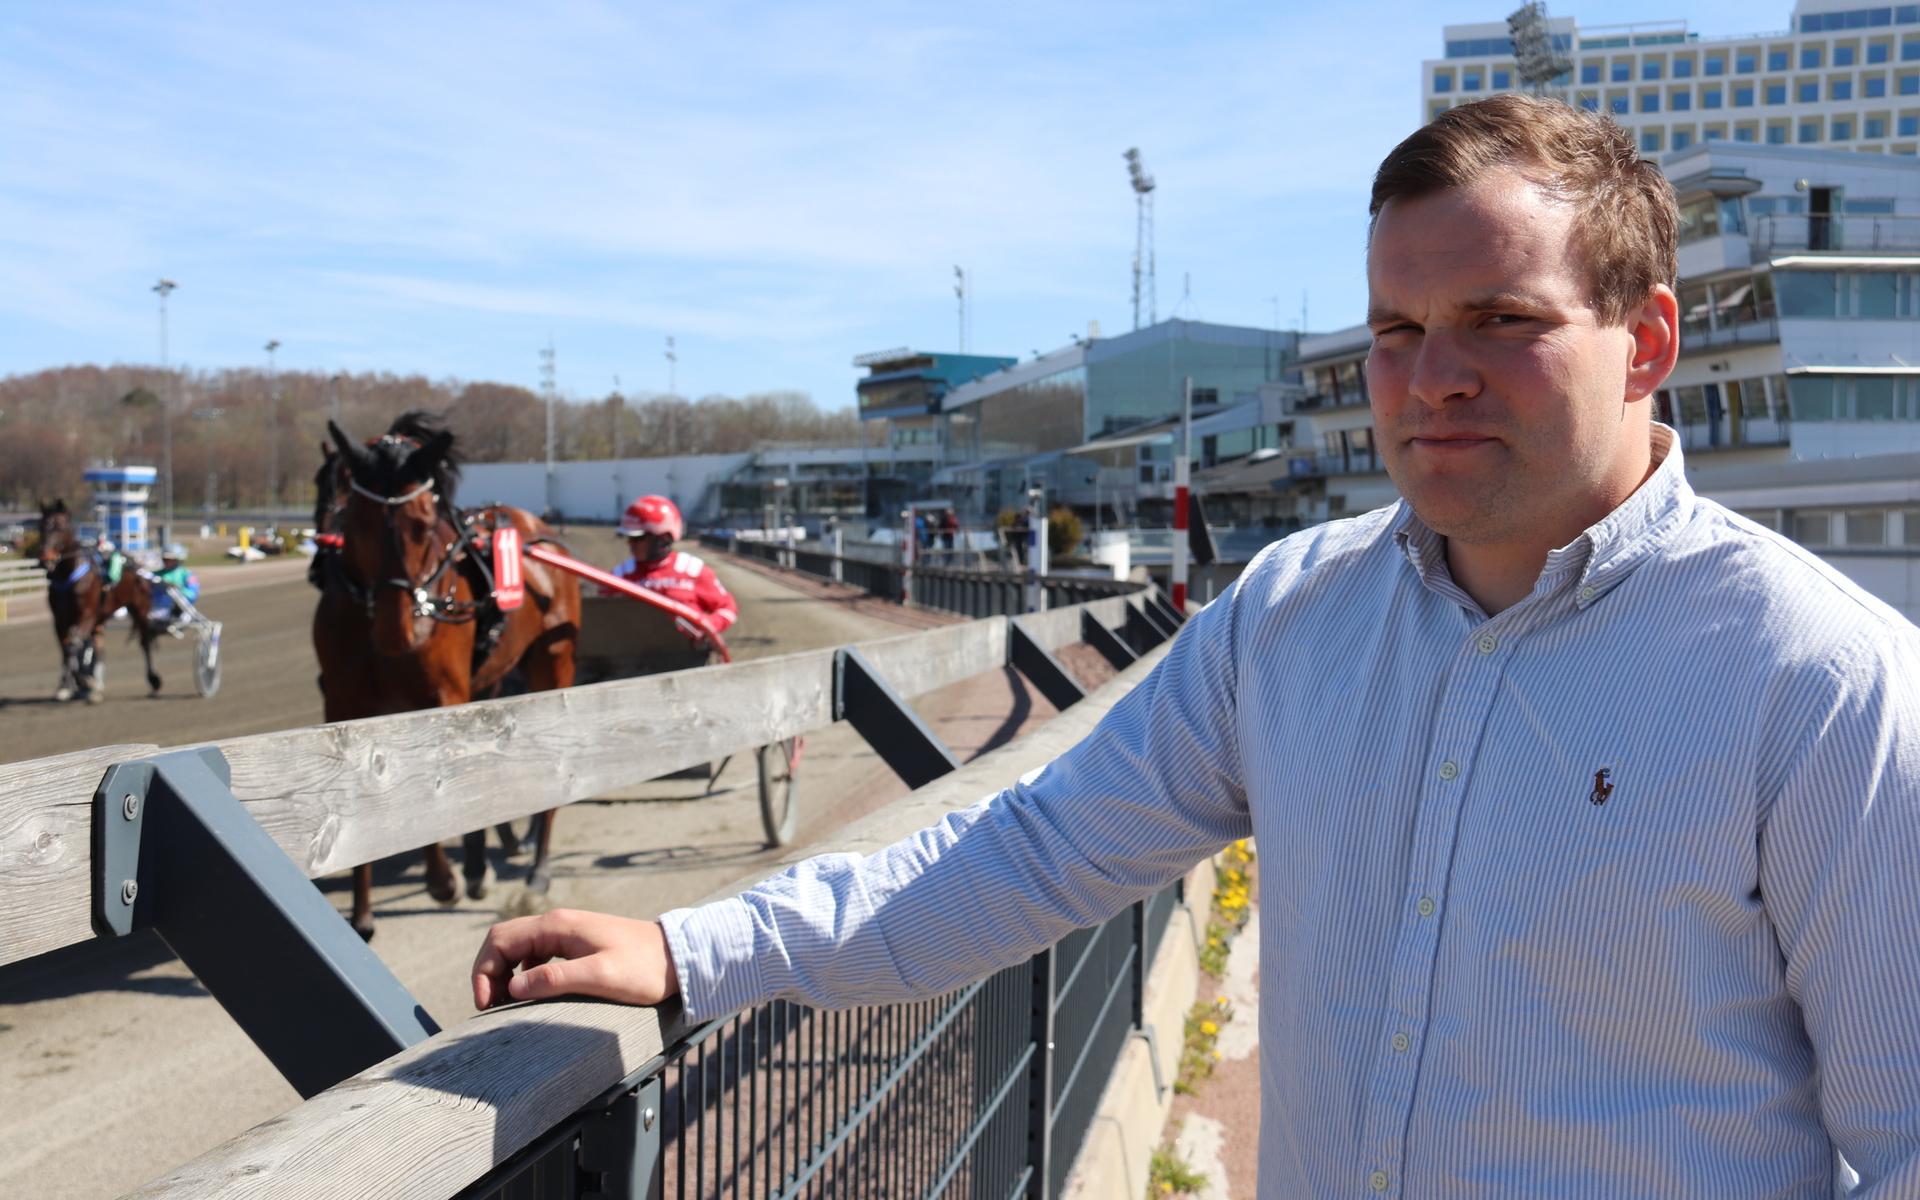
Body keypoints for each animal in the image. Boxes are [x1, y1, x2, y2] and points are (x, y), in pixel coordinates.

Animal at [35, 499, 108, 702]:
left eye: (60, 527)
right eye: (41, 526)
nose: (45, 559)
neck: (68, 574)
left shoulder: (87, 615)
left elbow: (74, 644)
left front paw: (84, 680)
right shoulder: (59, 620)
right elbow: (66, 648)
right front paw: (66, 685)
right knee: (95, 644)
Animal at [311, 410, 583, 936]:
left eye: (421, 525)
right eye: (359, 521)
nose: (399, 632)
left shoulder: (440, 696)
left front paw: (443, 881)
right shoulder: (344, 704)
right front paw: (362, 915)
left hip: (553, 662)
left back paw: (535, 870)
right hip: (491, 679)